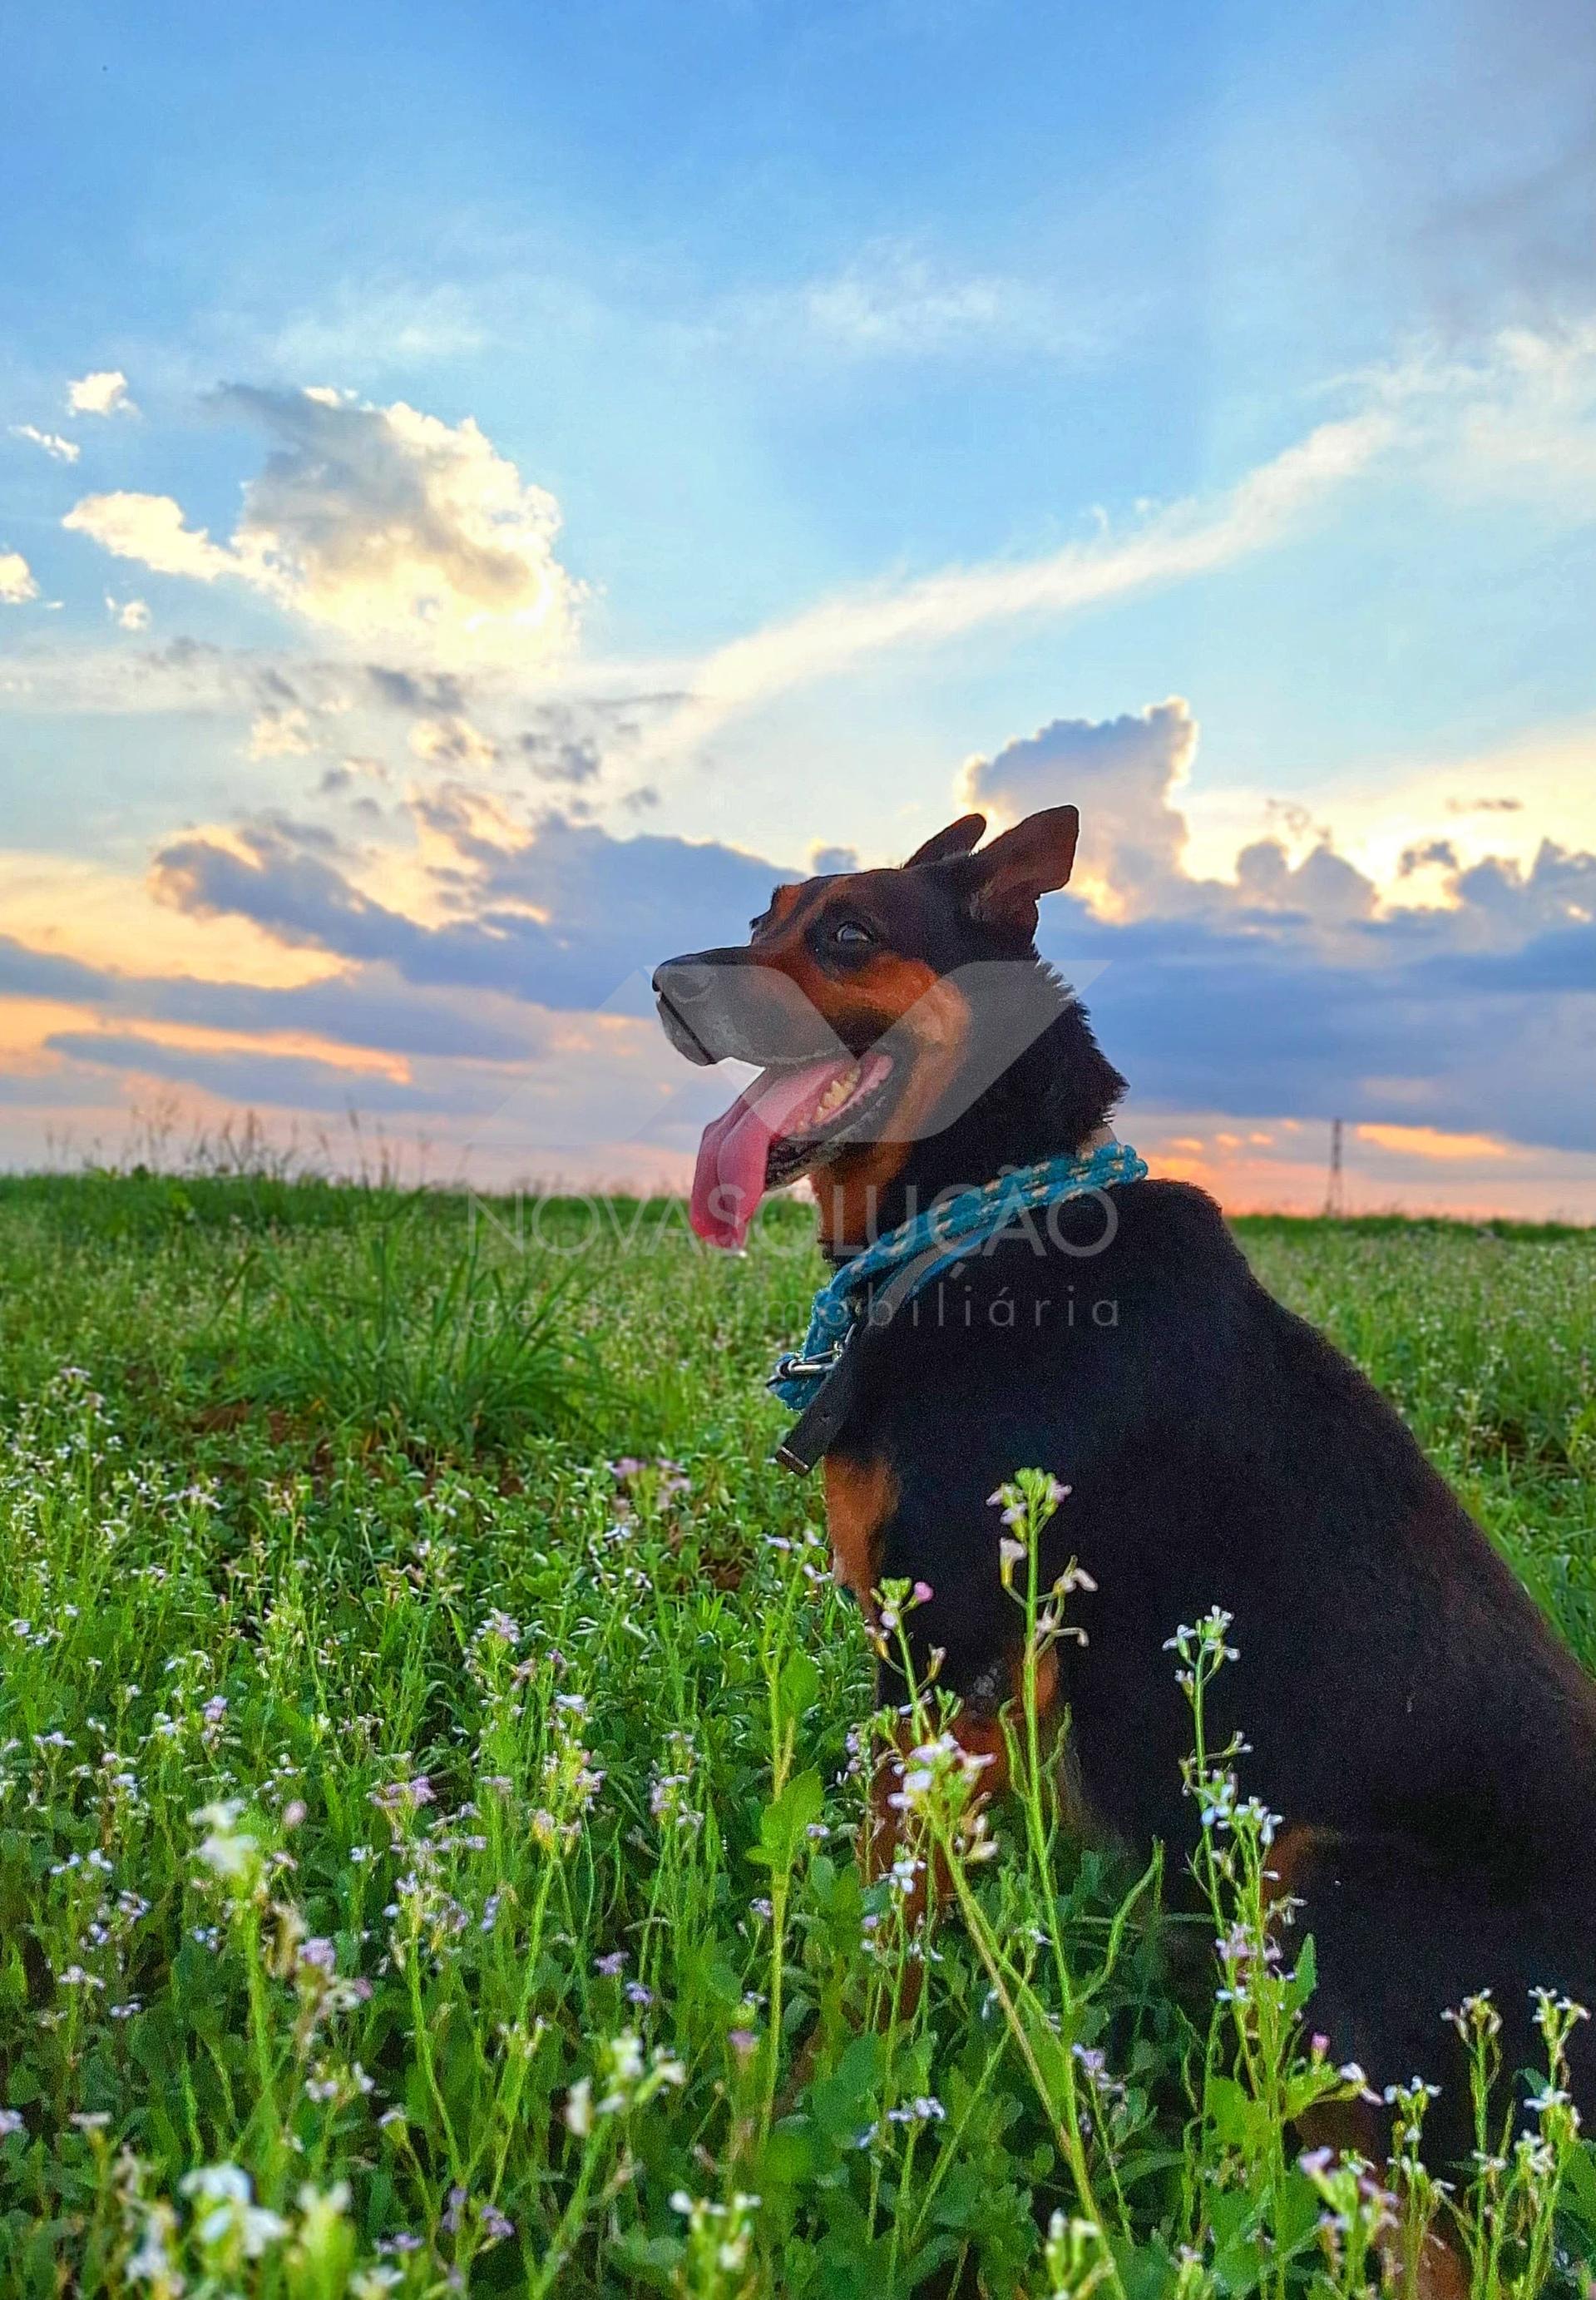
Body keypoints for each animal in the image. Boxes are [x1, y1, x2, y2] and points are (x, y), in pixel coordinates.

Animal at [653, 804, 1596, 2226]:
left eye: (848, 935)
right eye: (762, 911)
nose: (663, 984)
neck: (984, 1217)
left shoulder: (958, 1661)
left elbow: (882, 1919)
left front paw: (812, 2101)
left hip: (1317, 1893)